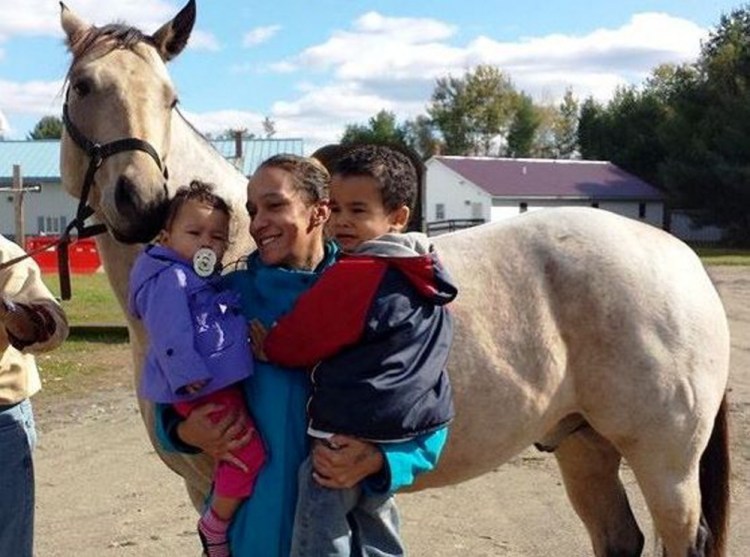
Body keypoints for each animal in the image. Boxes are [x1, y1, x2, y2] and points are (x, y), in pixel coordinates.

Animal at [57, 2, 728, 552]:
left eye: (170, 97)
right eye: (85, 86)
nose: (143, 200)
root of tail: (678, 257)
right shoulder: (203, 484)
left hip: (666, 464)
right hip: (584, 446)